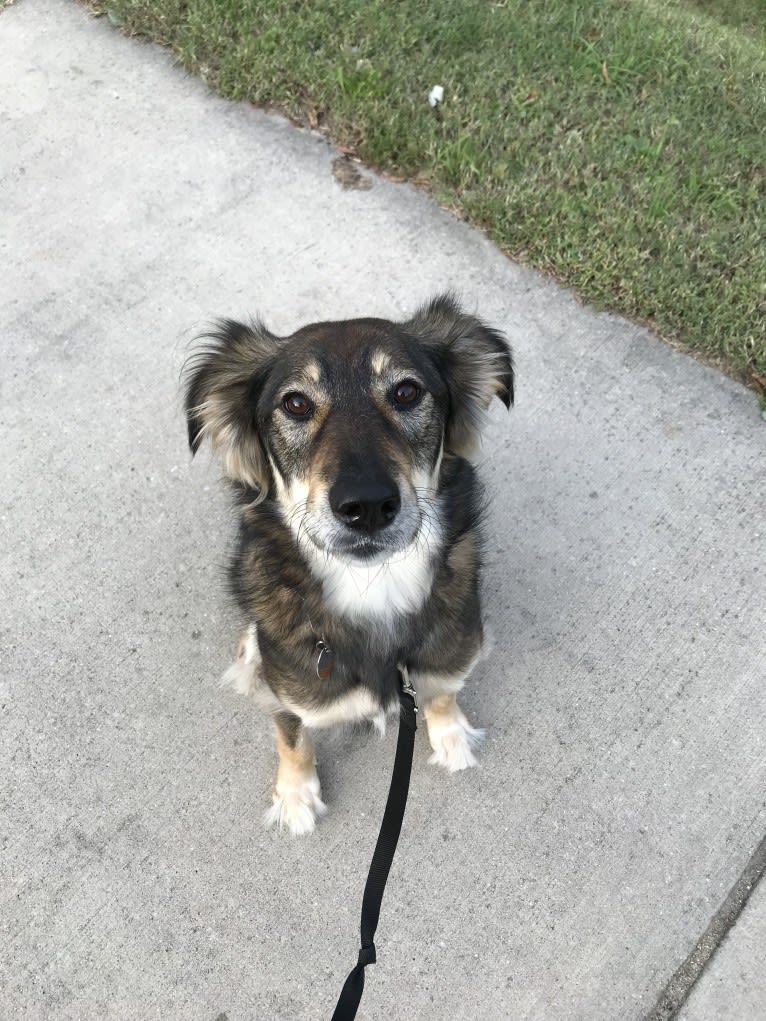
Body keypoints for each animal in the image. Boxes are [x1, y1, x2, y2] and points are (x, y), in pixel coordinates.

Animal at [182, 296, 512, 837]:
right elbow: (293, 738)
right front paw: (296, 796)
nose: (368, 506)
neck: (373, 588)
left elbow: (442, 691)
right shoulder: (290, 698)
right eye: (296, 404)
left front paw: (450, 733)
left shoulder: (447, 653)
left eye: (406, 392)